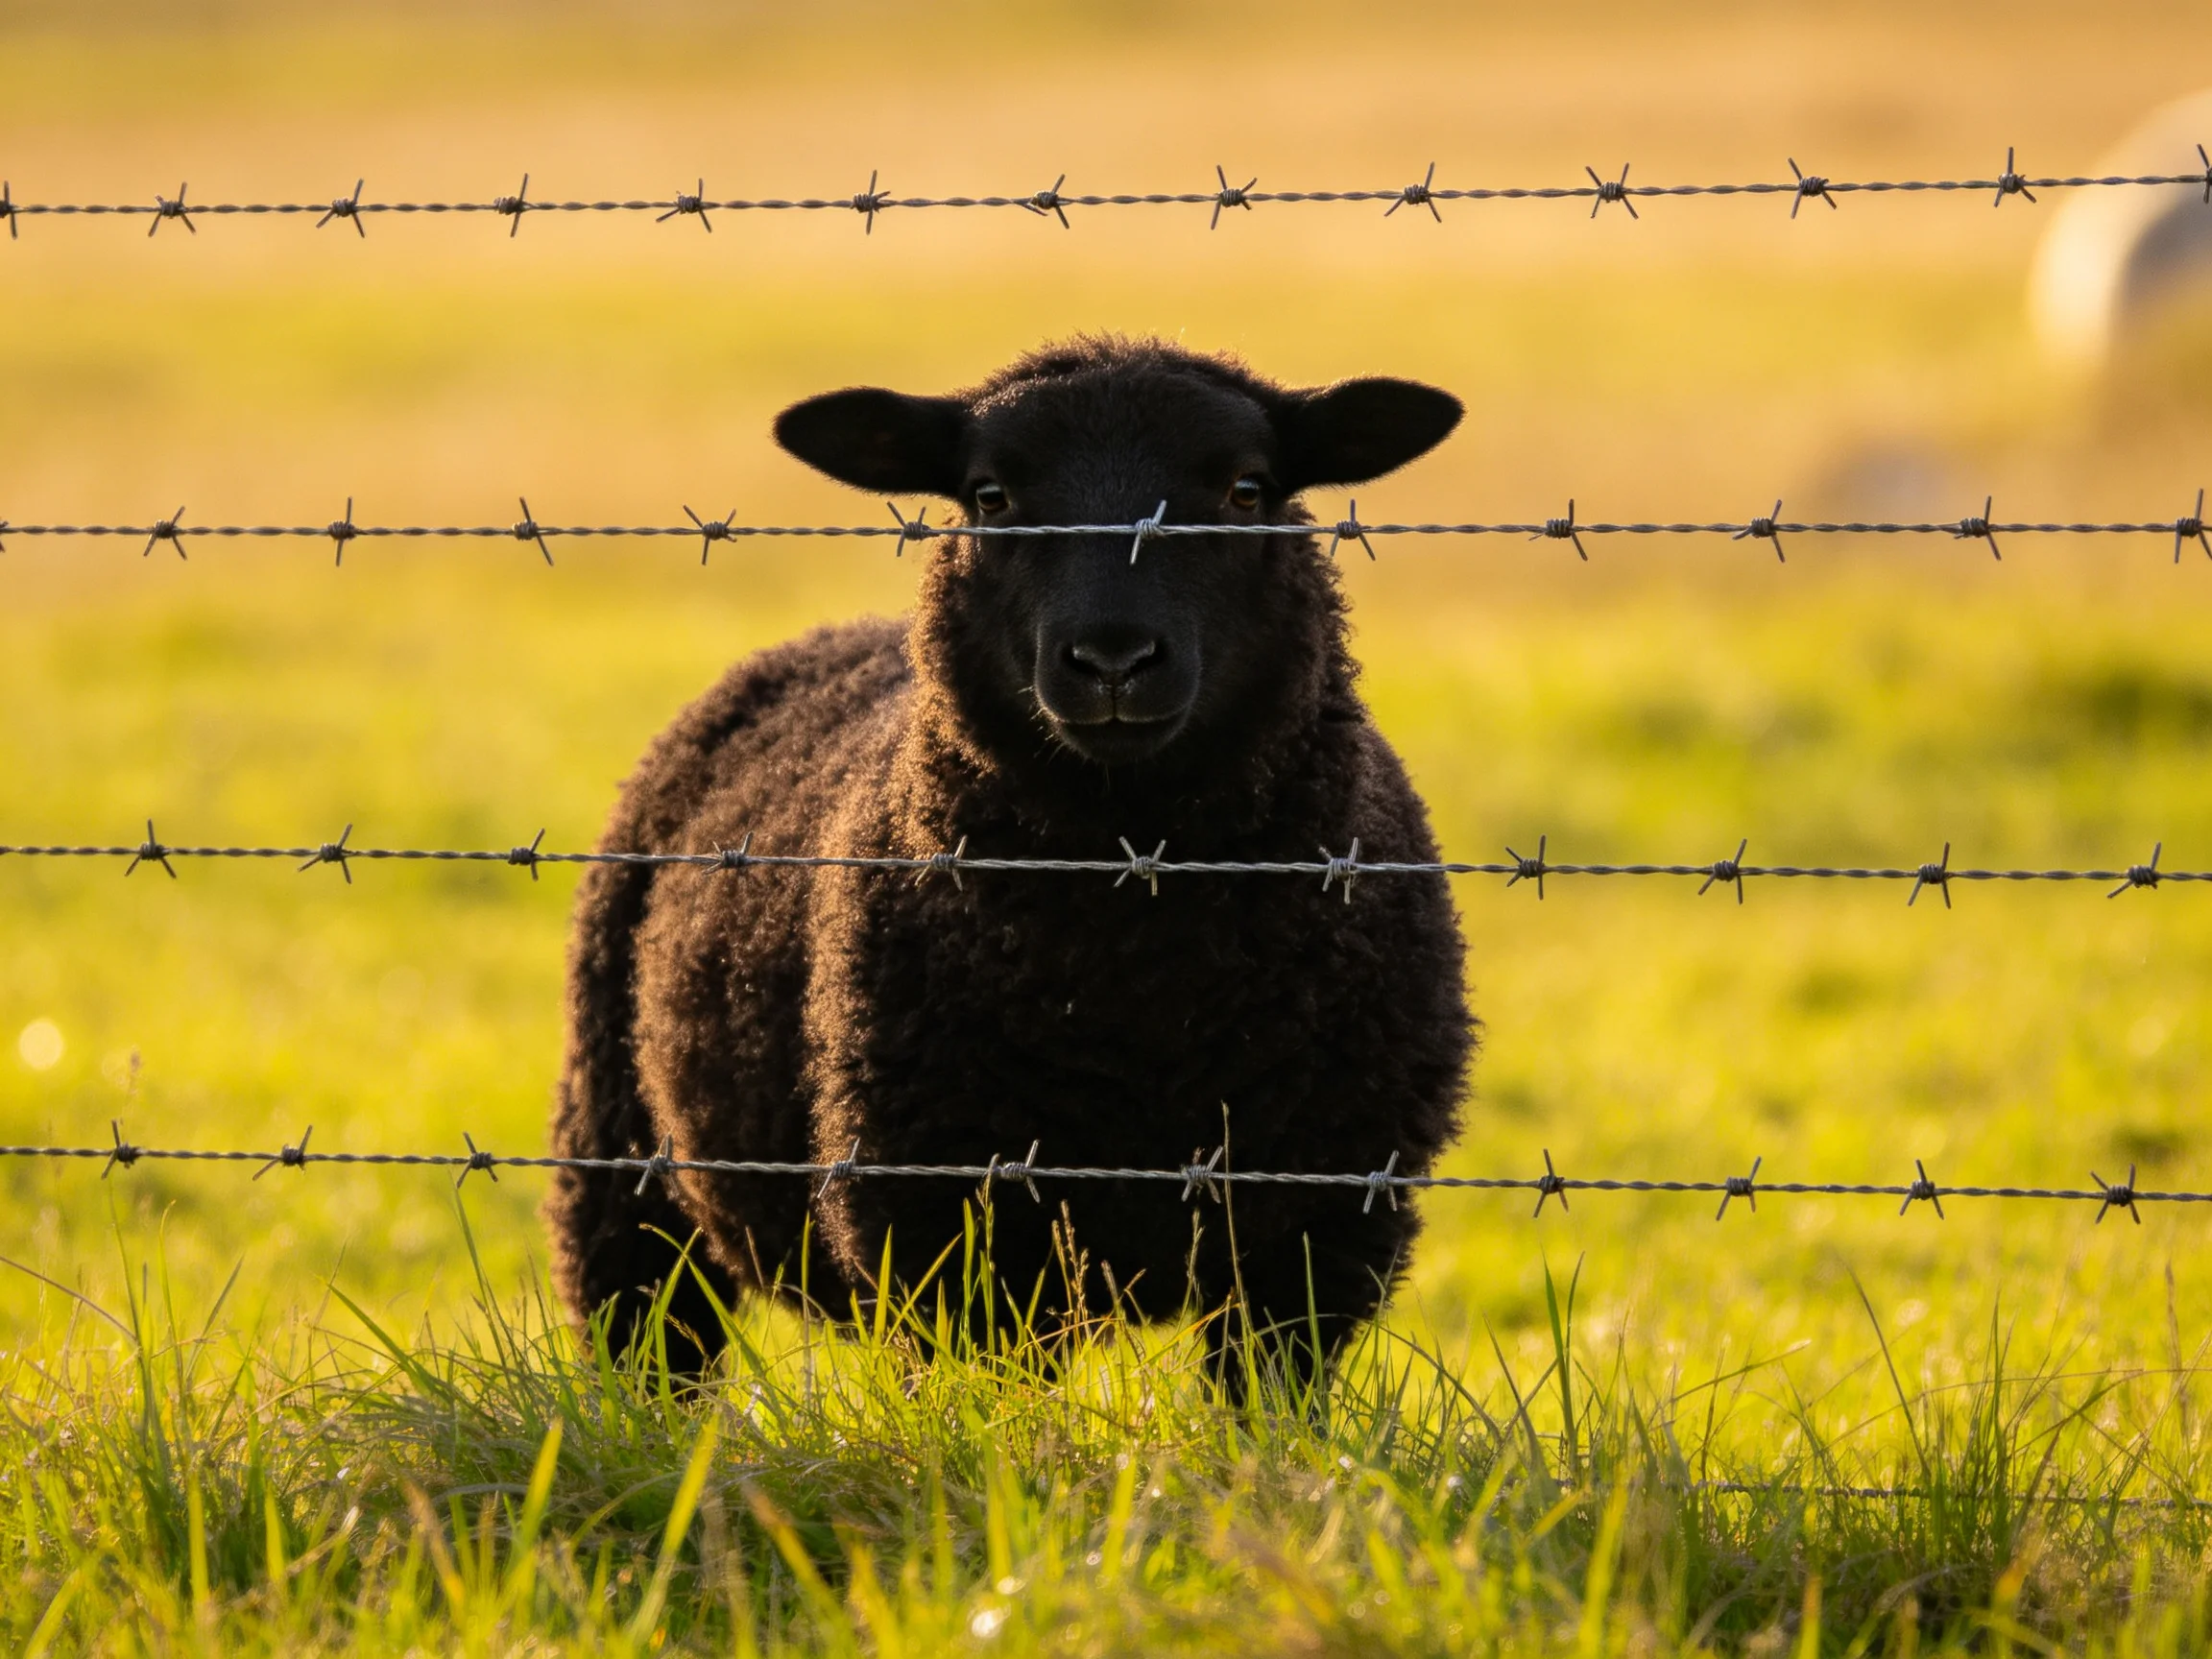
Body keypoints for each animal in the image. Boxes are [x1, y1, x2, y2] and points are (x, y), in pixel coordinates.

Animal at [547, 336, 1476, 1381]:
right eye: (991, 496)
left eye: (1246, 490)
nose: (1112, 658)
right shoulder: (943, 1215)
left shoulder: (1322, 1219)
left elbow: (1268, 1388)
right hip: (619, 1158)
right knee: (650, 1339)